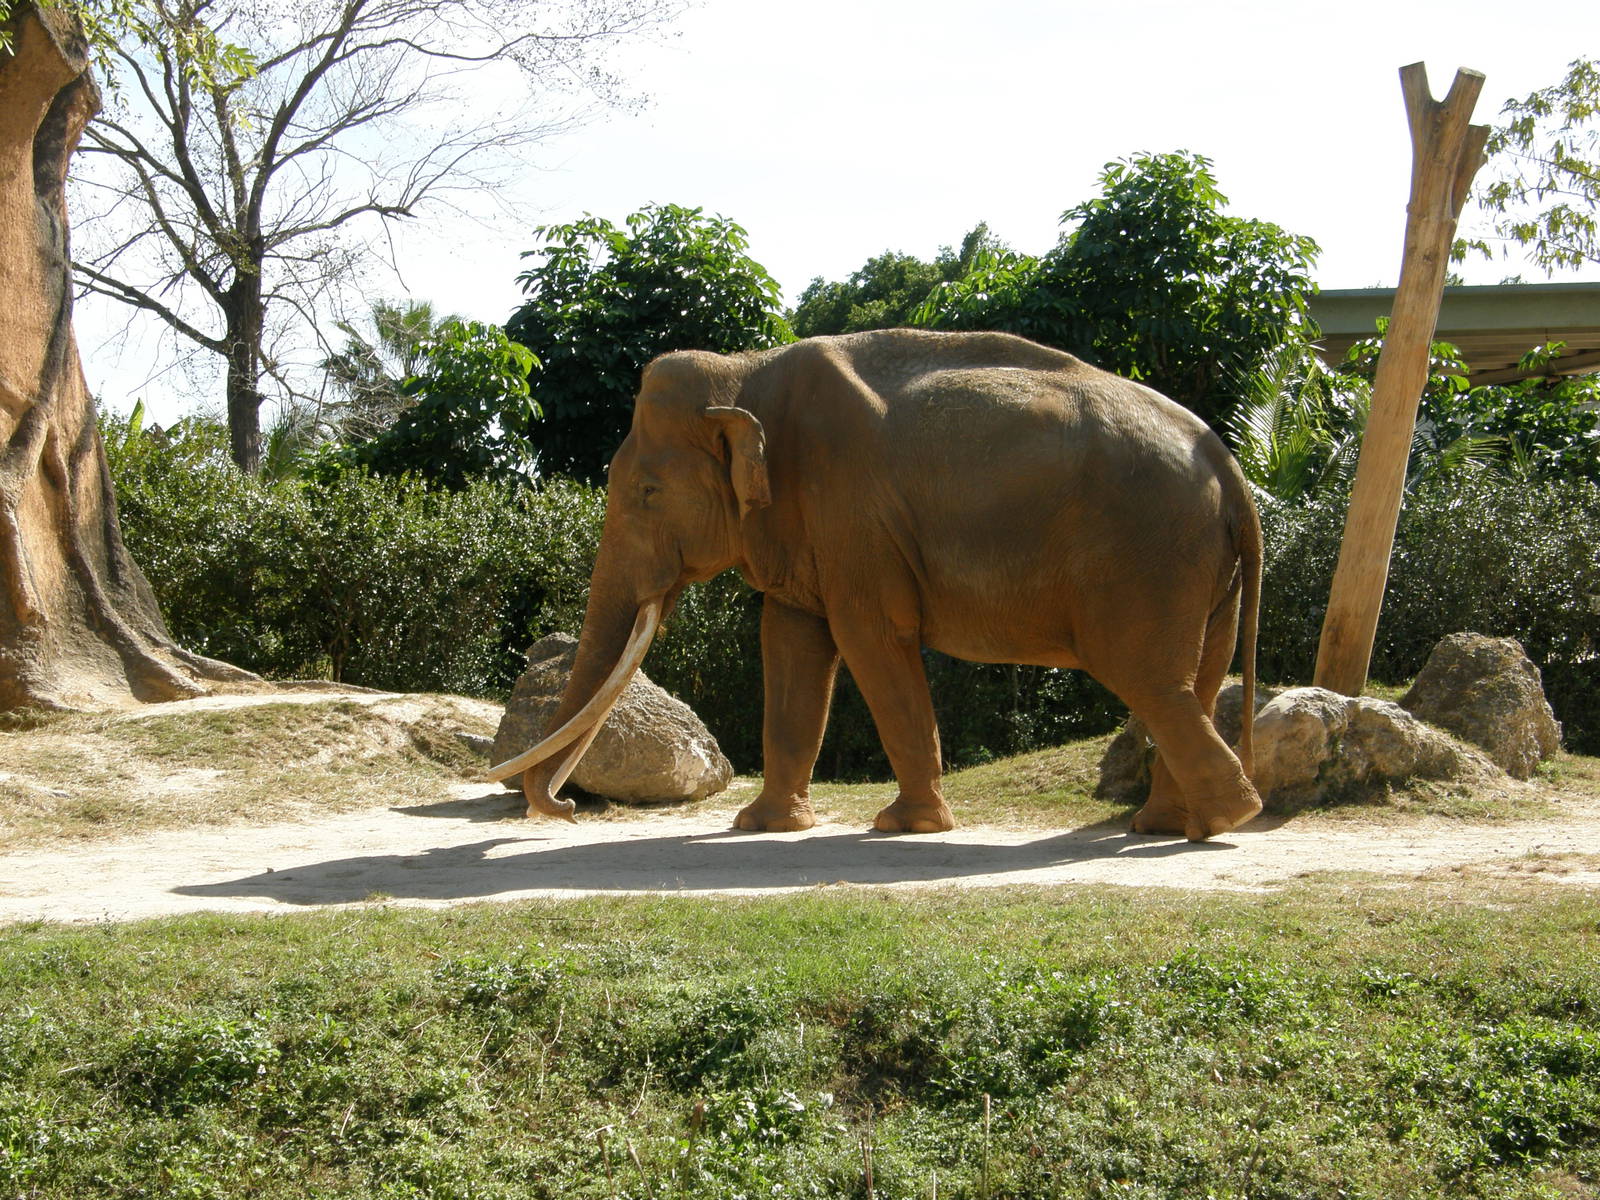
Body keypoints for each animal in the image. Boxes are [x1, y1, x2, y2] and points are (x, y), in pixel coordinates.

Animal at [488, 328, 1263, 842]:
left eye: (647, 492)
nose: (566, 809)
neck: (744, 374)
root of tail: (1227, 466)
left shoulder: (850, 510)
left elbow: (867, 635)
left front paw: (904, 826)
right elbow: (792, 641)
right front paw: (762, 825)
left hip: (1147, 553)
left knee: (1145, 676)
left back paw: (1224, 818)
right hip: (1201, 565)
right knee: (1196, 675)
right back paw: (1167, 827)